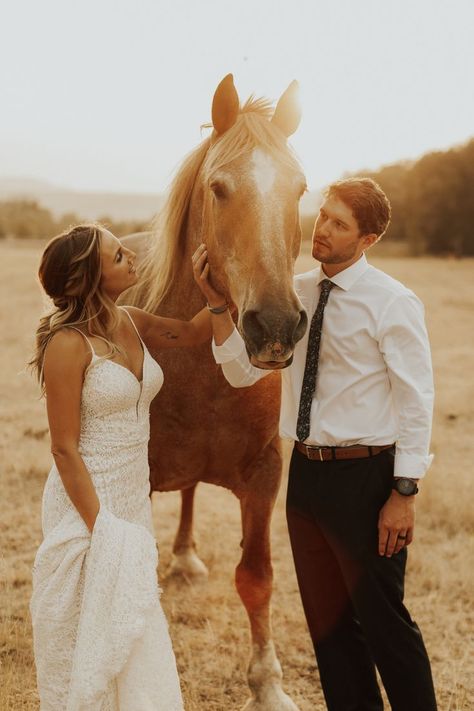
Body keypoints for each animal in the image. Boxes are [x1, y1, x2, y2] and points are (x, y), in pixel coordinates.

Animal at [124, 75, 308, 708]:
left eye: (301, 188)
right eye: (219, 188)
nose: (274, 325)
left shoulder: (266, 472)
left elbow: (257, 578)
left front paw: (268, 683)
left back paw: (185, 555)